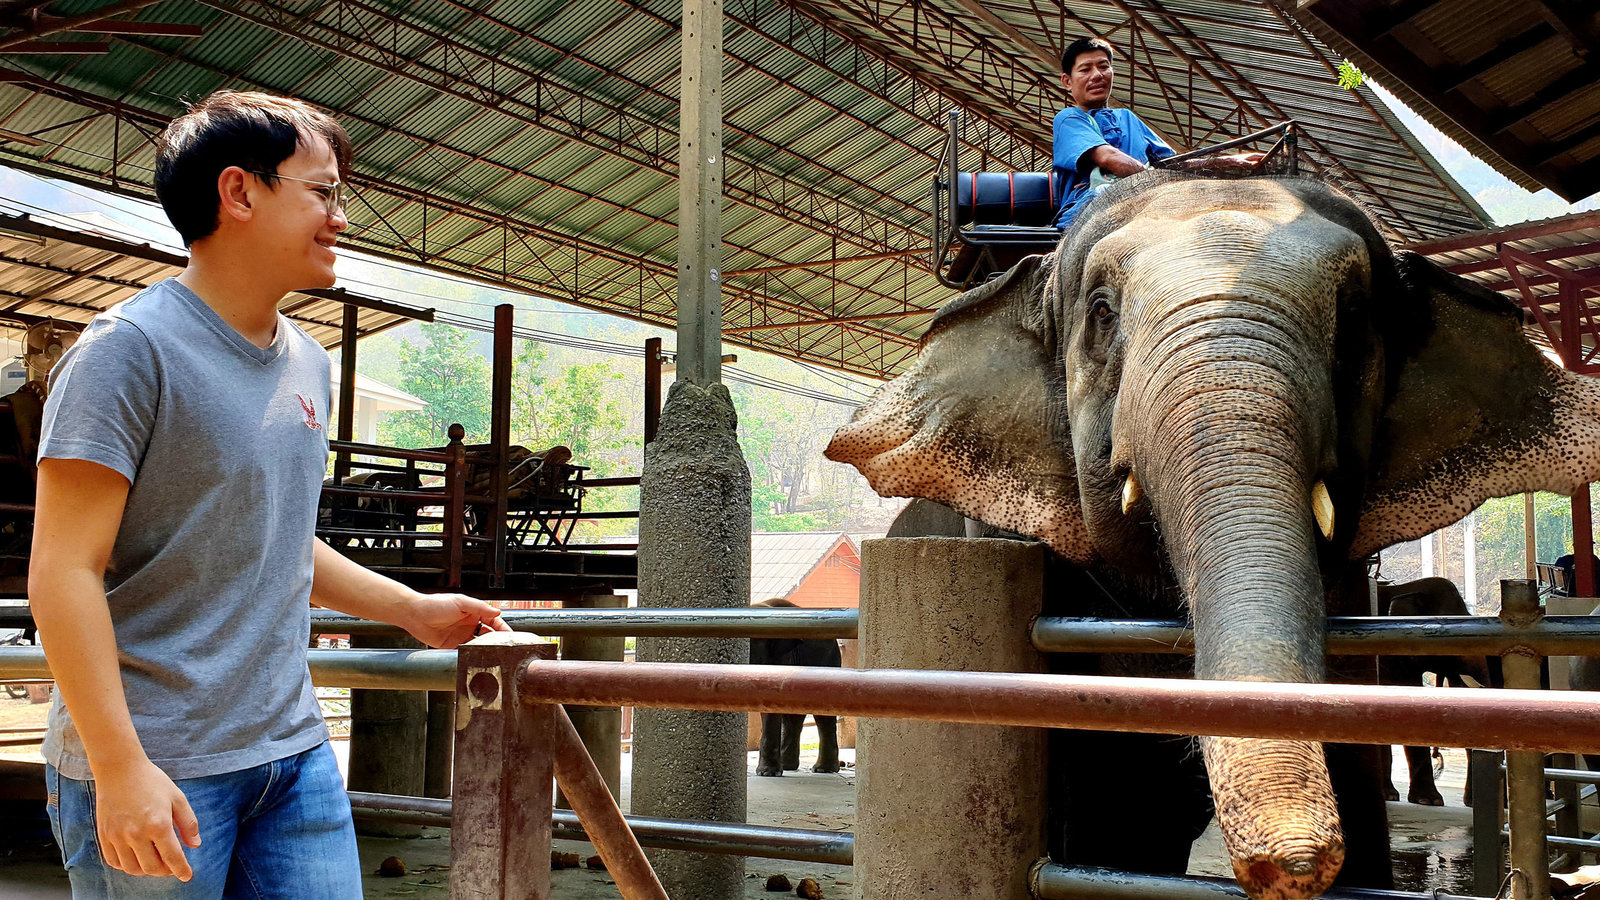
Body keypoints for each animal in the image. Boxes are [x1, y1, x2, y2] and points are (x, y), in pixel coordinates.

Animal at [748, 592, 844, 775]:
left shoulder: (776, 658)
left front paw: (767, 773)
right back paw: (788, 766)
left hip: (826, 659)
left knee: (821, 714)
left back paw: (822, 769)